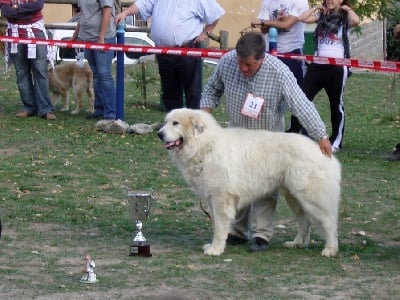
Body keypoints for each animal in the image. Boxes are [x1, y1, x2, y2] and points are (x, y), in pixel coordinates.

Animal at [158, 109, 342, 256]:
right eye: (166, 122)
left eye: (175, 123)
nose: (159, 134)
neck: (205, 145)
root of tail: (324, 152)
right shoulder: (212, 198)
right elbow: (216, 225)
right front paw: (216, 245)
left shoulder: (221, 198)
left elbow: (219, 227)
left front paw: (216, 249)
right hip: (294, 197)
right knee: (305, 221)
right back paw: (297, 243)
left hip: (312, 197)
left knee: (329, 222)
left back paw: (330, 249)